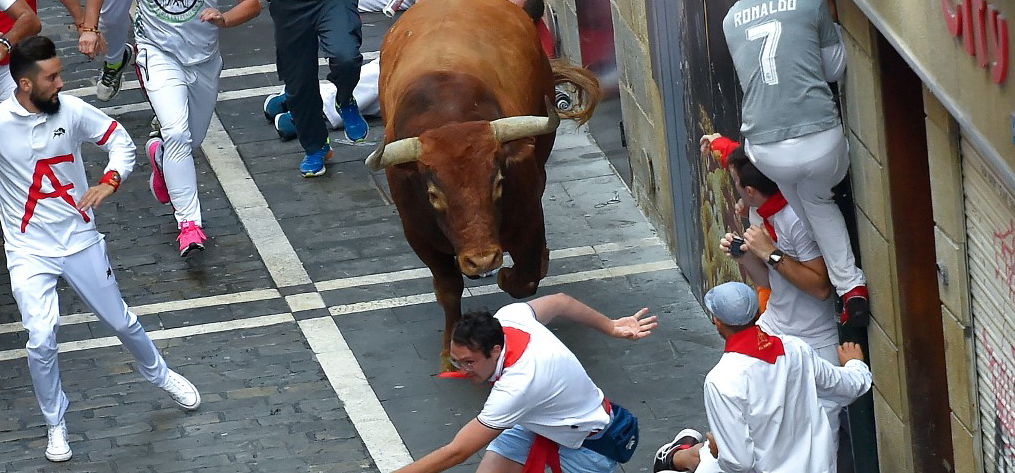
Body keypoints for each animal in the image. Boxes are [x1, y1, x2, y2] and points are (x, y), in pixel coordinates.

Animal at [367, 0, 596, 369]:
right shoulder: (418, 236)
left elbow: (526, 275)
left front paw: (509, 275)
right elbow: (448, 288)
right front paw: (450, 351)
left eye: (499, 182)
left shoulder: (529, 216)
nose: (483, 260)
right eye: (433, 194)